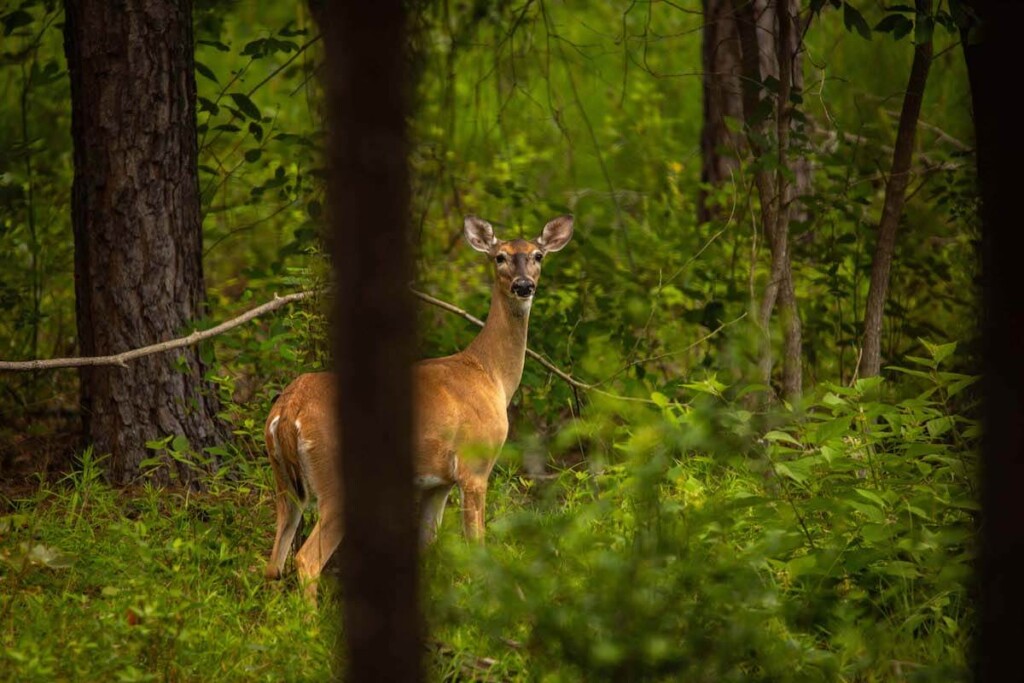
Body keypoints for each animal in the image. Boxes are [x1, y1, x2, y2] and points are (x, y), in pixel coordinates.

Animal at [262, 214, 577, 598]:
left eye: (538, 256)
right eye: (500, 257)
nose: (523, 285)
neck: (491, 376)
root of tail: (289, 409)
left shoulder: (436, 482)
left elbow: (429, 547)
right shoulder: (475, 466)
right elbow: (477, 546)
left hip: (283, 480)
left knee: (274, 563)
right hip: (334, 477)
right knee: (306, 560)